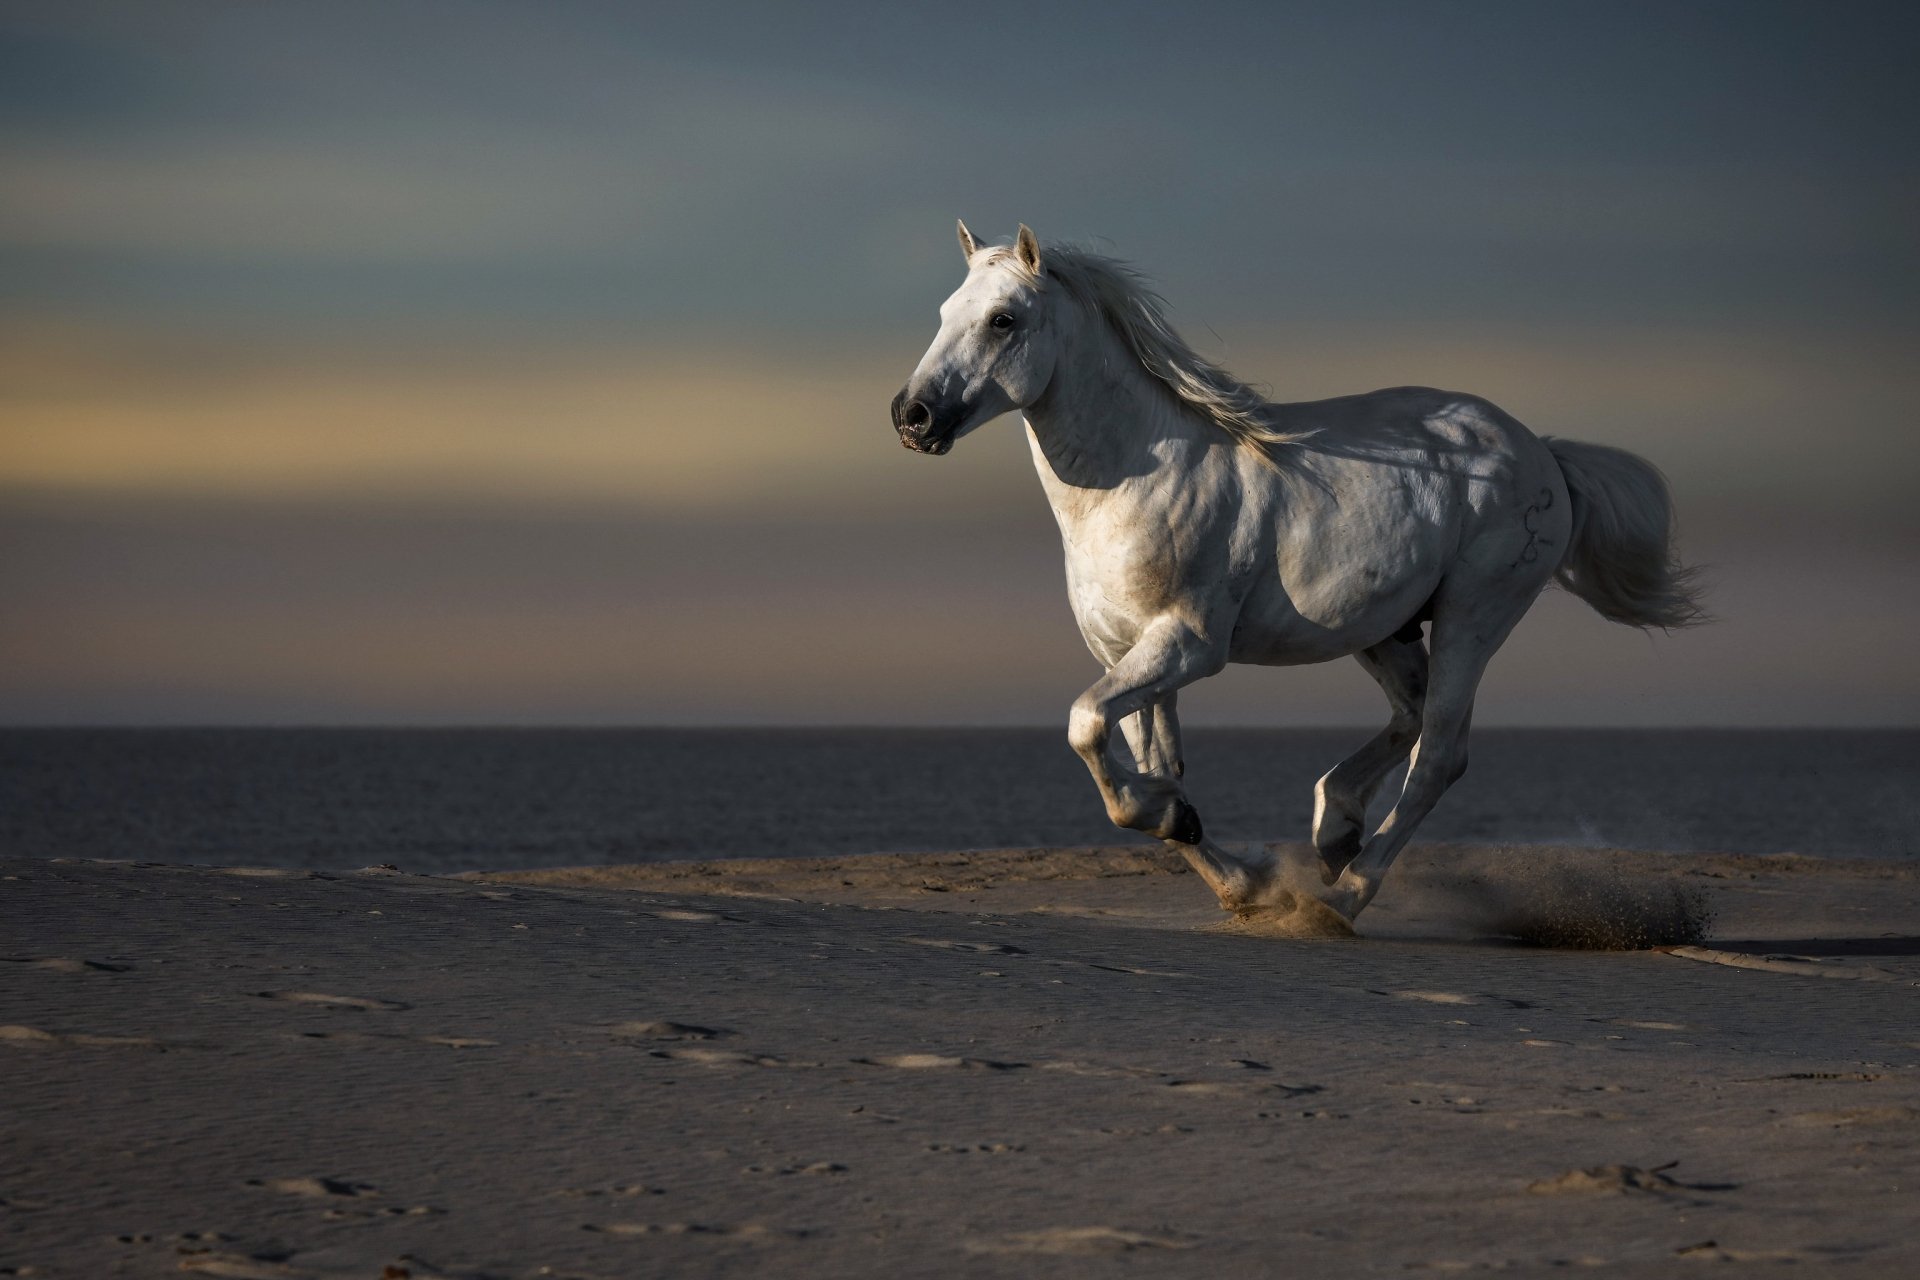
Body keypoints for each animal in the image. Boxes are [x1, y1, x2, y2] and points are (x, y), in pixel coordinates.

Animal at [891, 222, 1705, 928]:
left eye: (1003, 319)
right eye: (945, 312)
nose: (912, 415)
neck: (1132, 481)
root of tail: (1543, 453)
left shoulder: (1187, 646)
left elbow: (1087, 728)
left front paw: (1214, 851)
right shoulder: (1126, 653)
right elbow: (1158, 771)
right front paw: (1235, 876)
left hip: (1475, 617)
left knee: (1439, 755)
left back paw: (1341, 897)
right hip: (1384, 630)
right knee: (1410, 721)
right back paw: (1333, 830)